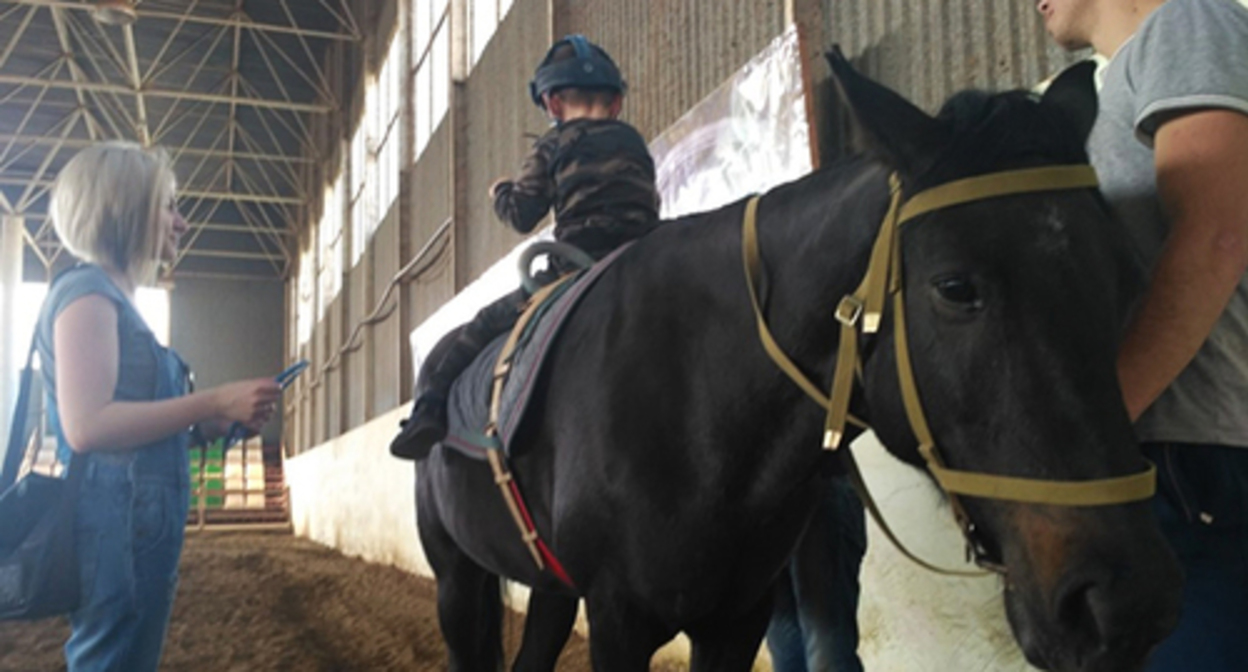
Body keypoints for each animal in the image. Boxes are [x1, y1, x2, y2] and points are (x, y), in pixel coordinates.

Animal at [414, 53, 1183, 669]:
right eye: (956, 288)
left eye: (1125, 279)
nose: (1123, 604)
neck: (692, 393)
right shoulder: (618, 618)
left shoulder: (735, 619)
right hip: (458, 581)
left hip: (547, 588)